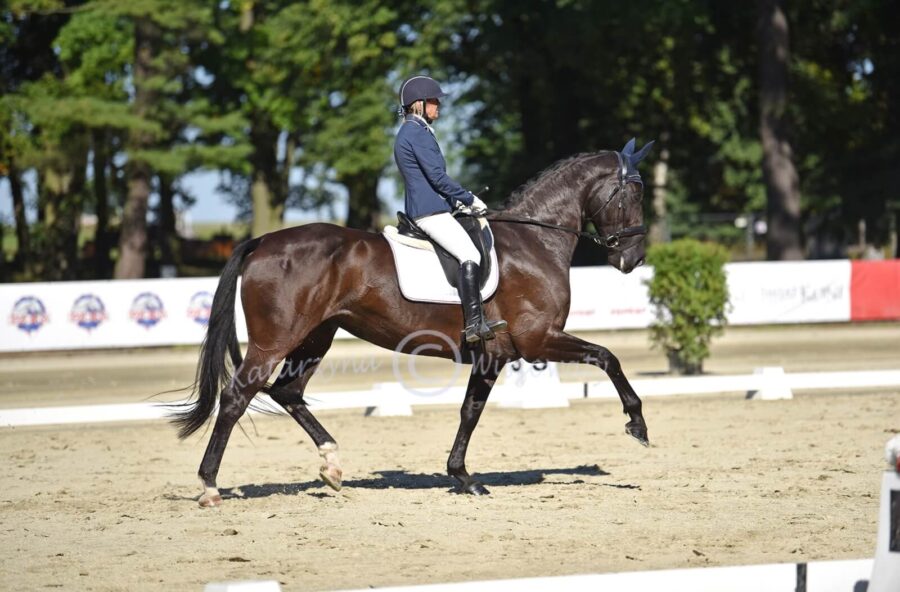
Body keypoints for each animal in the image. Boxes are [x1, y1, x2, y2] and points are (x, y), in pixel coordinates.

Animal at [172, 138, 652, 504]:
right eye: (635, 193)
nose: (632, 259)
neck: (535, 239)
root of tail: (264, 241)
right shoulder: (537, 340)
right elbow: (607, 357)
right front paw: (637, 424)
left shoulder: (492, 356)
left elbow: (470, 411)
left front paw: (462, 477)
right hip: (275, 341)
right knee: (237, 397)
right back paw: (209, 486)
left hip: (315, 338)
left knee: (287, 393)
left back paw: (332, 466)